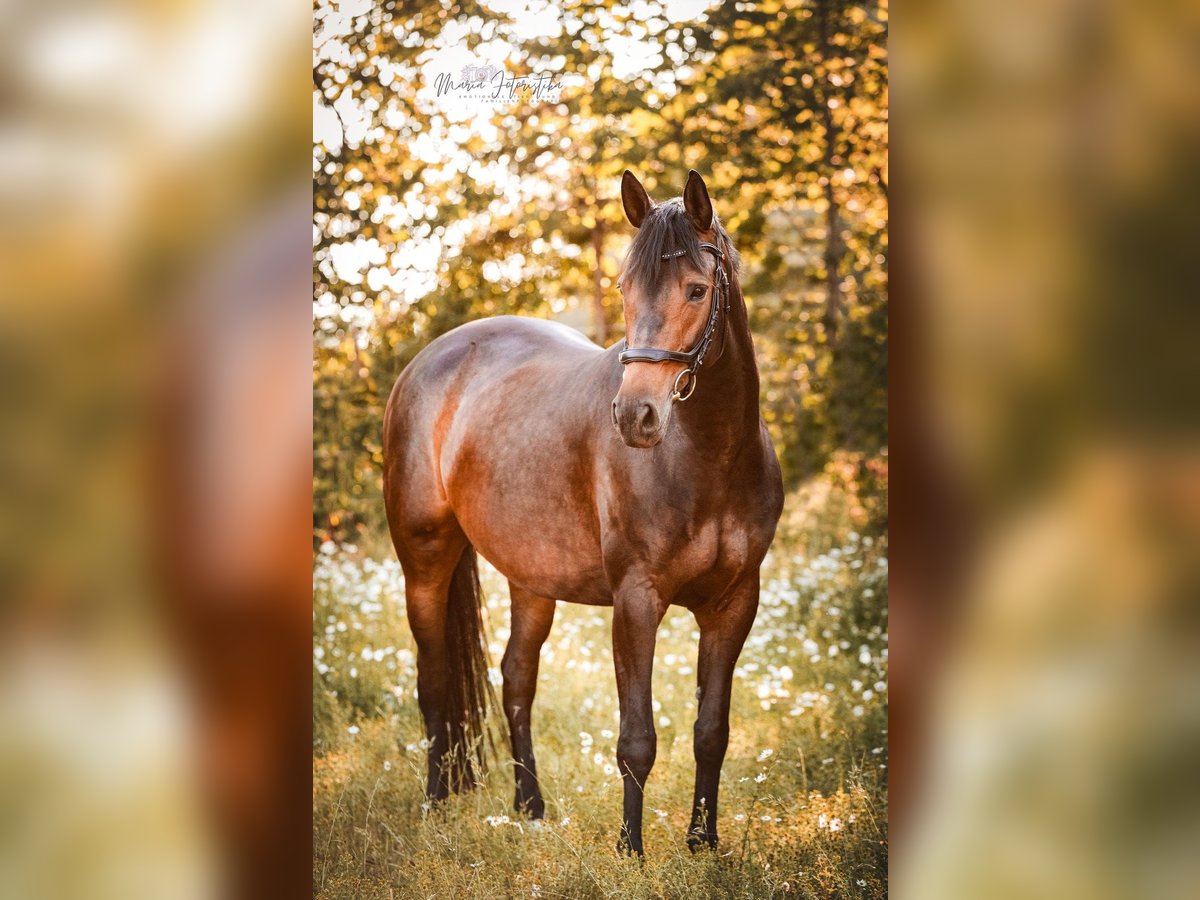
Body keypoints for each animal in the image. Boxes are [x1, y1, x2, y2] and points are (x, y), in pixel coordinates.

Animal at [379, 170, 782, 859]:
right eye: (624, 289)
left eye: (697, 290)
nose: (635, 416)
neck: (711, 456)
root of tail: (425, 364)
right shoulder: (637, 600)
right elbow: (637, 739)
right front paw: (631, 850)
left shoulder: (735, 603)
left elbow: (711, 731)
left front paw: (702, 843)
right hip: (425, 561)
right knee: (433, 683)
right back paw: (436, 804)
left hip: (531, 579)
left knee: (516, 679)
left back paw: (530, 808)